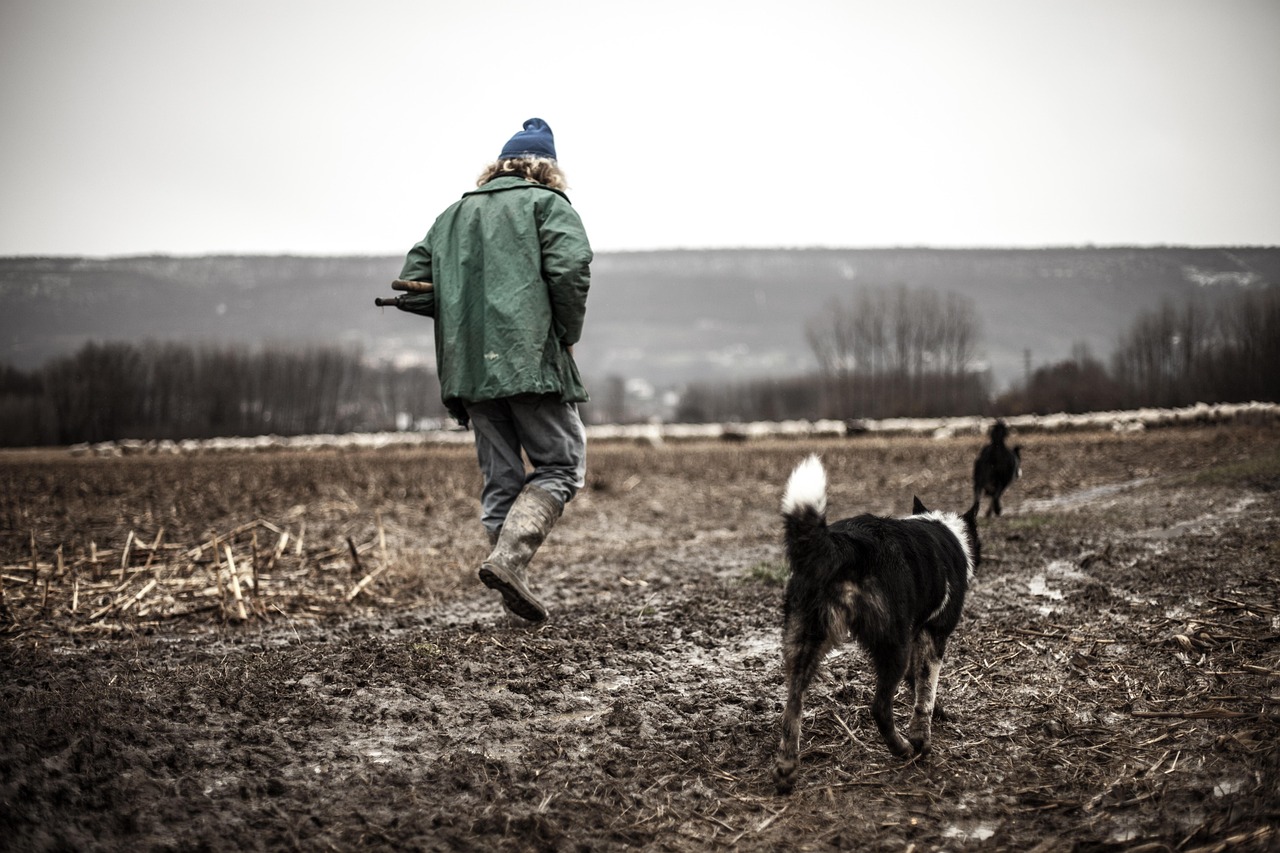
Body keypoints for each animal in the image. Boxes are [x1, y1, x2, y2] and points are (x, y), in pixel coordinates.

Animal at [768, 455, 977, 794]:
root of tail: (844, 544)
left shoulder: (917, 637)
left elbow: (917, 684)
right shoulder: (933, 635)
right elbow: (926, 692)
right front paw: (922, 738)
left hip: (804, 641)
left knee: (792, 706)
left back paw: (786, 769)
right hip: (892, 646)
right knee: (879, 707)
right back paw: (902, 749)